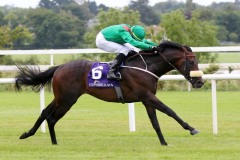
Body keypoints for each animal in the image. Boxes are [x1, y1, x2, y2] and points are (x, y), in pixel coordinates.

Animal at [15, 40, 203, 146]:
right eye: (191, 61)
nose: (200, 82)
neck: (146, 67)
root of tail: (60, 67)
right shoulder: (147, 95)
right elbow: (170, 111)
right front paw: (191, 128)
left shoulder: (147, 99)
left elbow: (155, 122)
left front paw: (163, 142)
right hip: (67, 99)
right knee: (52, 117)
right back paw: (51, 141)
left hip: (61, 98)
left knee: (45, 113)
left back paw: (32, 136)